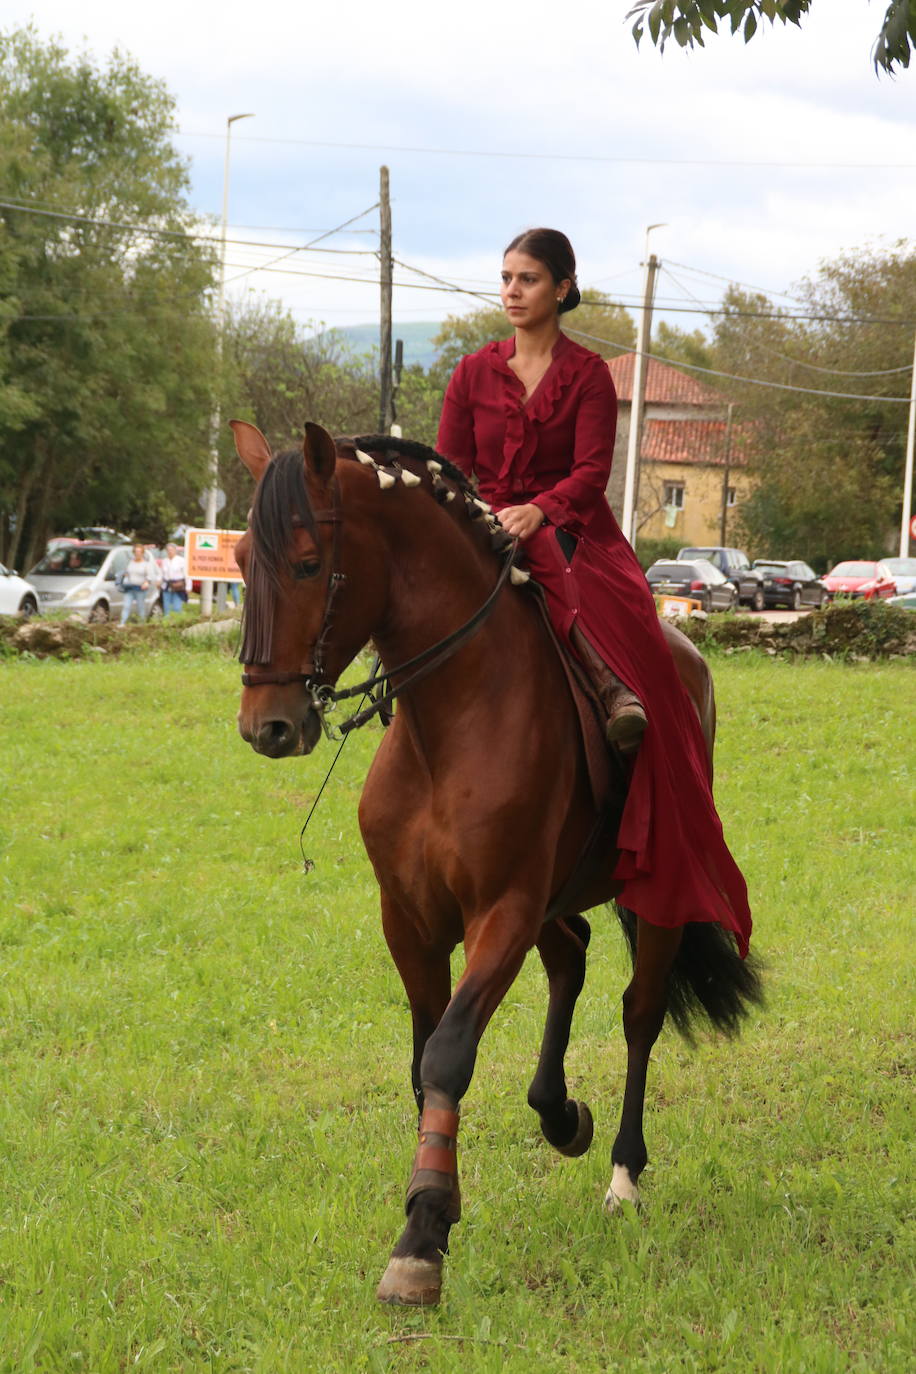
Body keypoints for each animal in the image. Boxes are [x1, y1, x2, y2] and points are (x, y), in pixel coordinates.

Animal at [230, 417, 769, 1308]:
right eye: (239, 562)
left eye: (307, 562)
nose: (265, 725)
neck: (450, 721)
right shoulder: (411, 923)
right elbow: (423, 1066)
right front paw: (439, 1203)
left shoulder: (503, 912)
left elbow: (449, 1052)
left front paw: (421, 1235)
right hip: (555, 898)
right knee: (572, 957)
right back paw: (560, 1114)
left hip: (651, 891)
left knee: (640, 1010)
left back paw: (623, 1172)